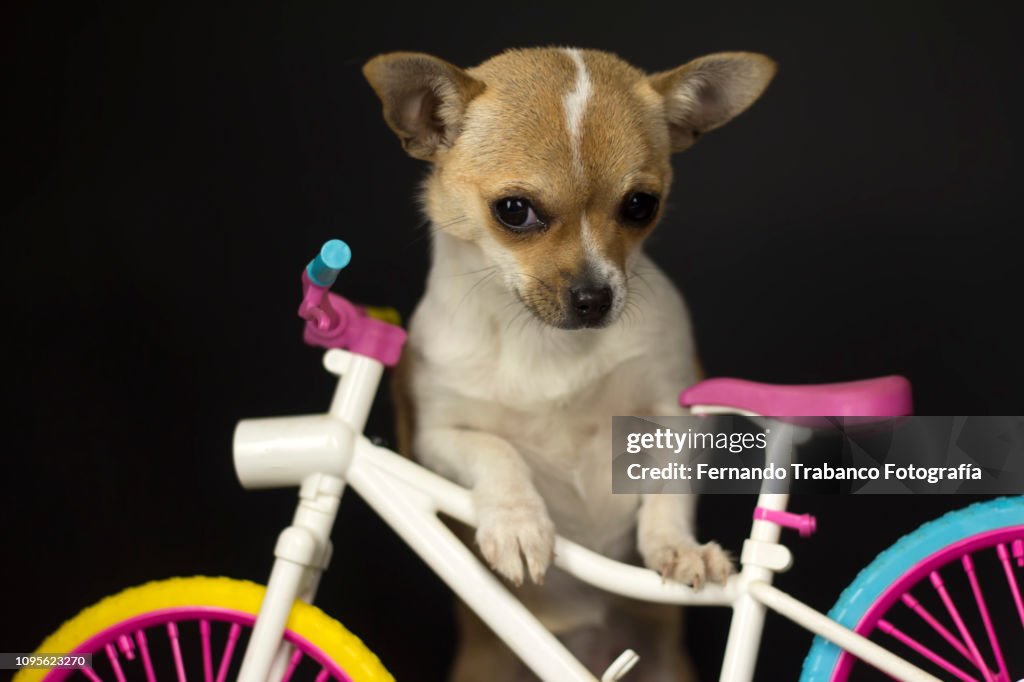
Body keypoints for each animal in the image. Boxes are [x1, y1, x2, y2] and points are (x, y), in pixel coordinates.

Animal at [364, 45, 770, 675]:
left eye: (640, 205)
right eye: (513, 211)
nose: (594, 297)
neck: (542, 343)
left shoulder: (675, 417)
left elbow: (668, 492)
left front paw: (676, 547)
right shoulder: (435, 440)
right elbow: (497, 451)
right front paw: (518, 524)